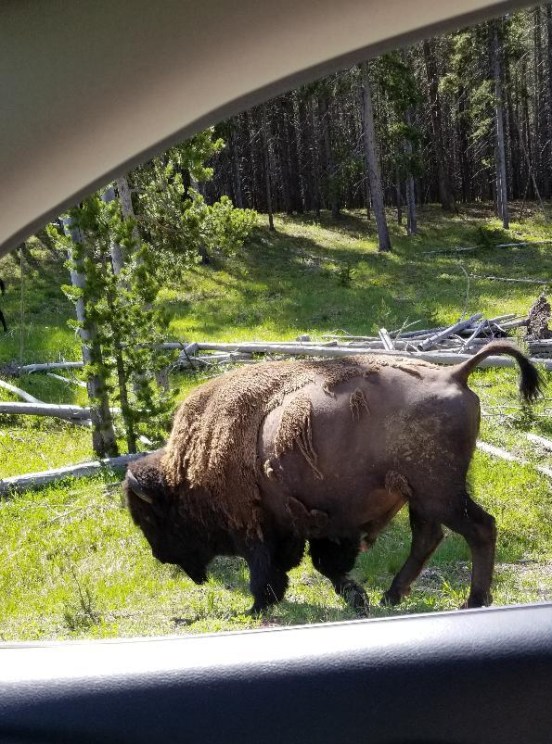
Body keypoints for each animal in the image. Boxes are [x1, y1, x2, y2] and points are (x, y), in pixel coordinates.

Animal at [125, 341, 541, 614]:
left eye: (148, 517)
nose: (161, 556)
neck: (186, 468)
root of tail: (455, 373)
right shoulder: (318, 525)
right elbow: (325, 565)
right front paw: (358, 599)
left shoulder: (257, 527)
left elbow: (267, 571)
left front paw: (256, 608)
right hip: (423, 495)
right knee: (429, 537)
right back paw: (392, 595)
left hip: (439, 493)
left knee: (479, 529)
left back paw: (473, 600)